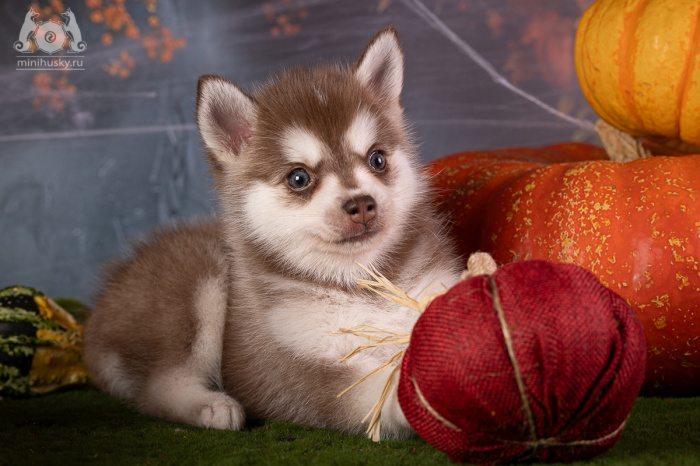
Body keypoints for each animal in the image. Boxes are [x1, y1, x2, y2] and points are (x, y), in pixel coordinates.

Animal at [83, 27, 464, 438]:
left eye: (377, 159)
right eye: (299, 178)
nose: (361, 204)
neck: (364, 284)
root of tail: (100, 308)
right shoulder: (298, 369)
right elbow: (376, 388)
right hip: (196, 277)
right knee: (158, 388)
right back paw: (213, 406)